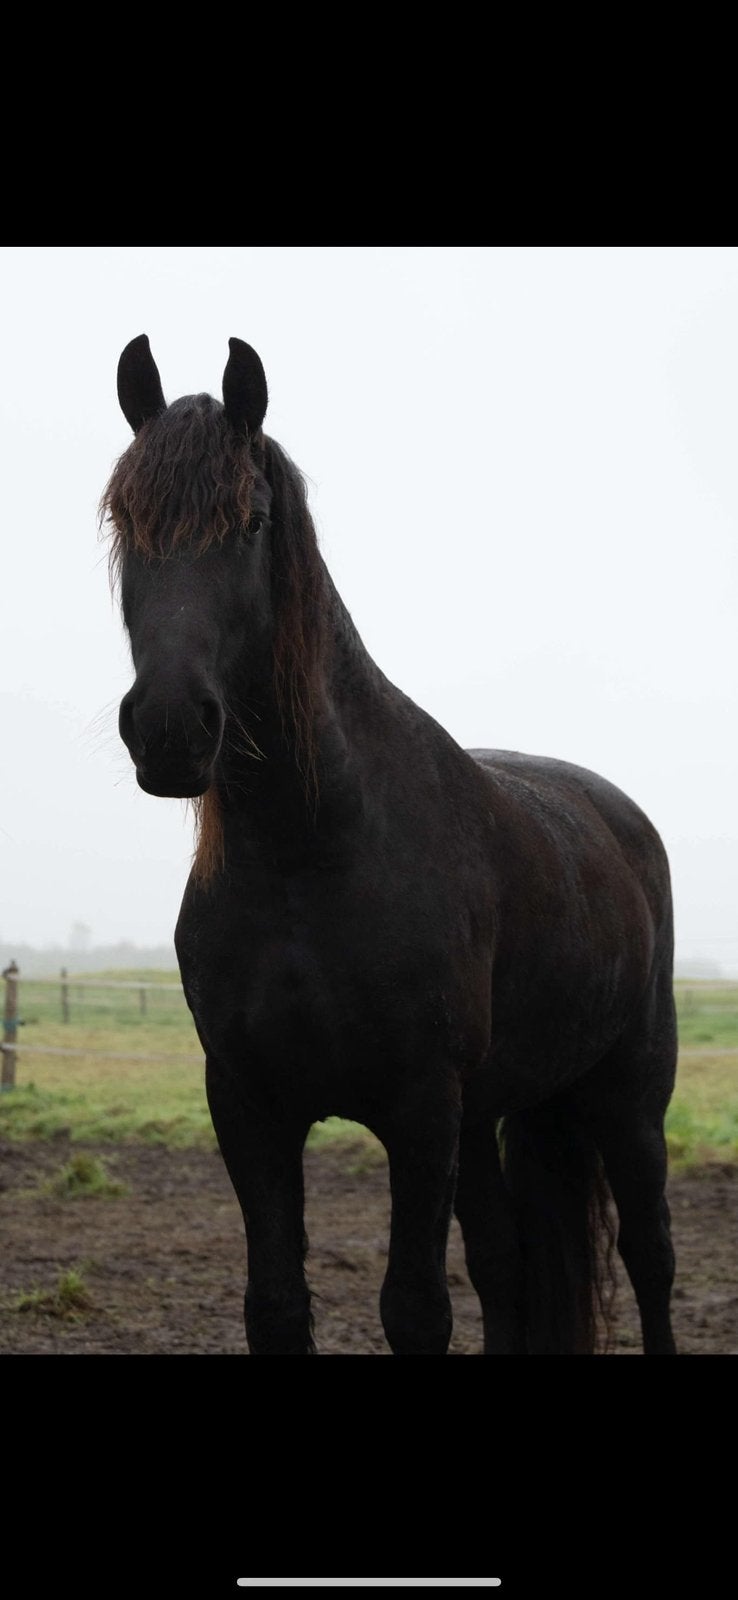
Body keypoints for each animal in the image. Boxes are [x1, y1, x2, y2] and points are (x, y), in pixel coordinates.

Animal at [102, 333, 678, 1355]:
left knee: (650, 1261)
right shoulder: (250, 1108)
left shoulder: (420, 1112)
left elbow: (414, 1310)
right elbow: (277, 1306)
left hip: (629, 1102)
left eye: (251, 522)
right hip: (494, 1114)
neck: (311, 854)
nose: (169, 729)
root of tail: (622, 823)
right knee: (506, 1268)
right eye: (127, 521)